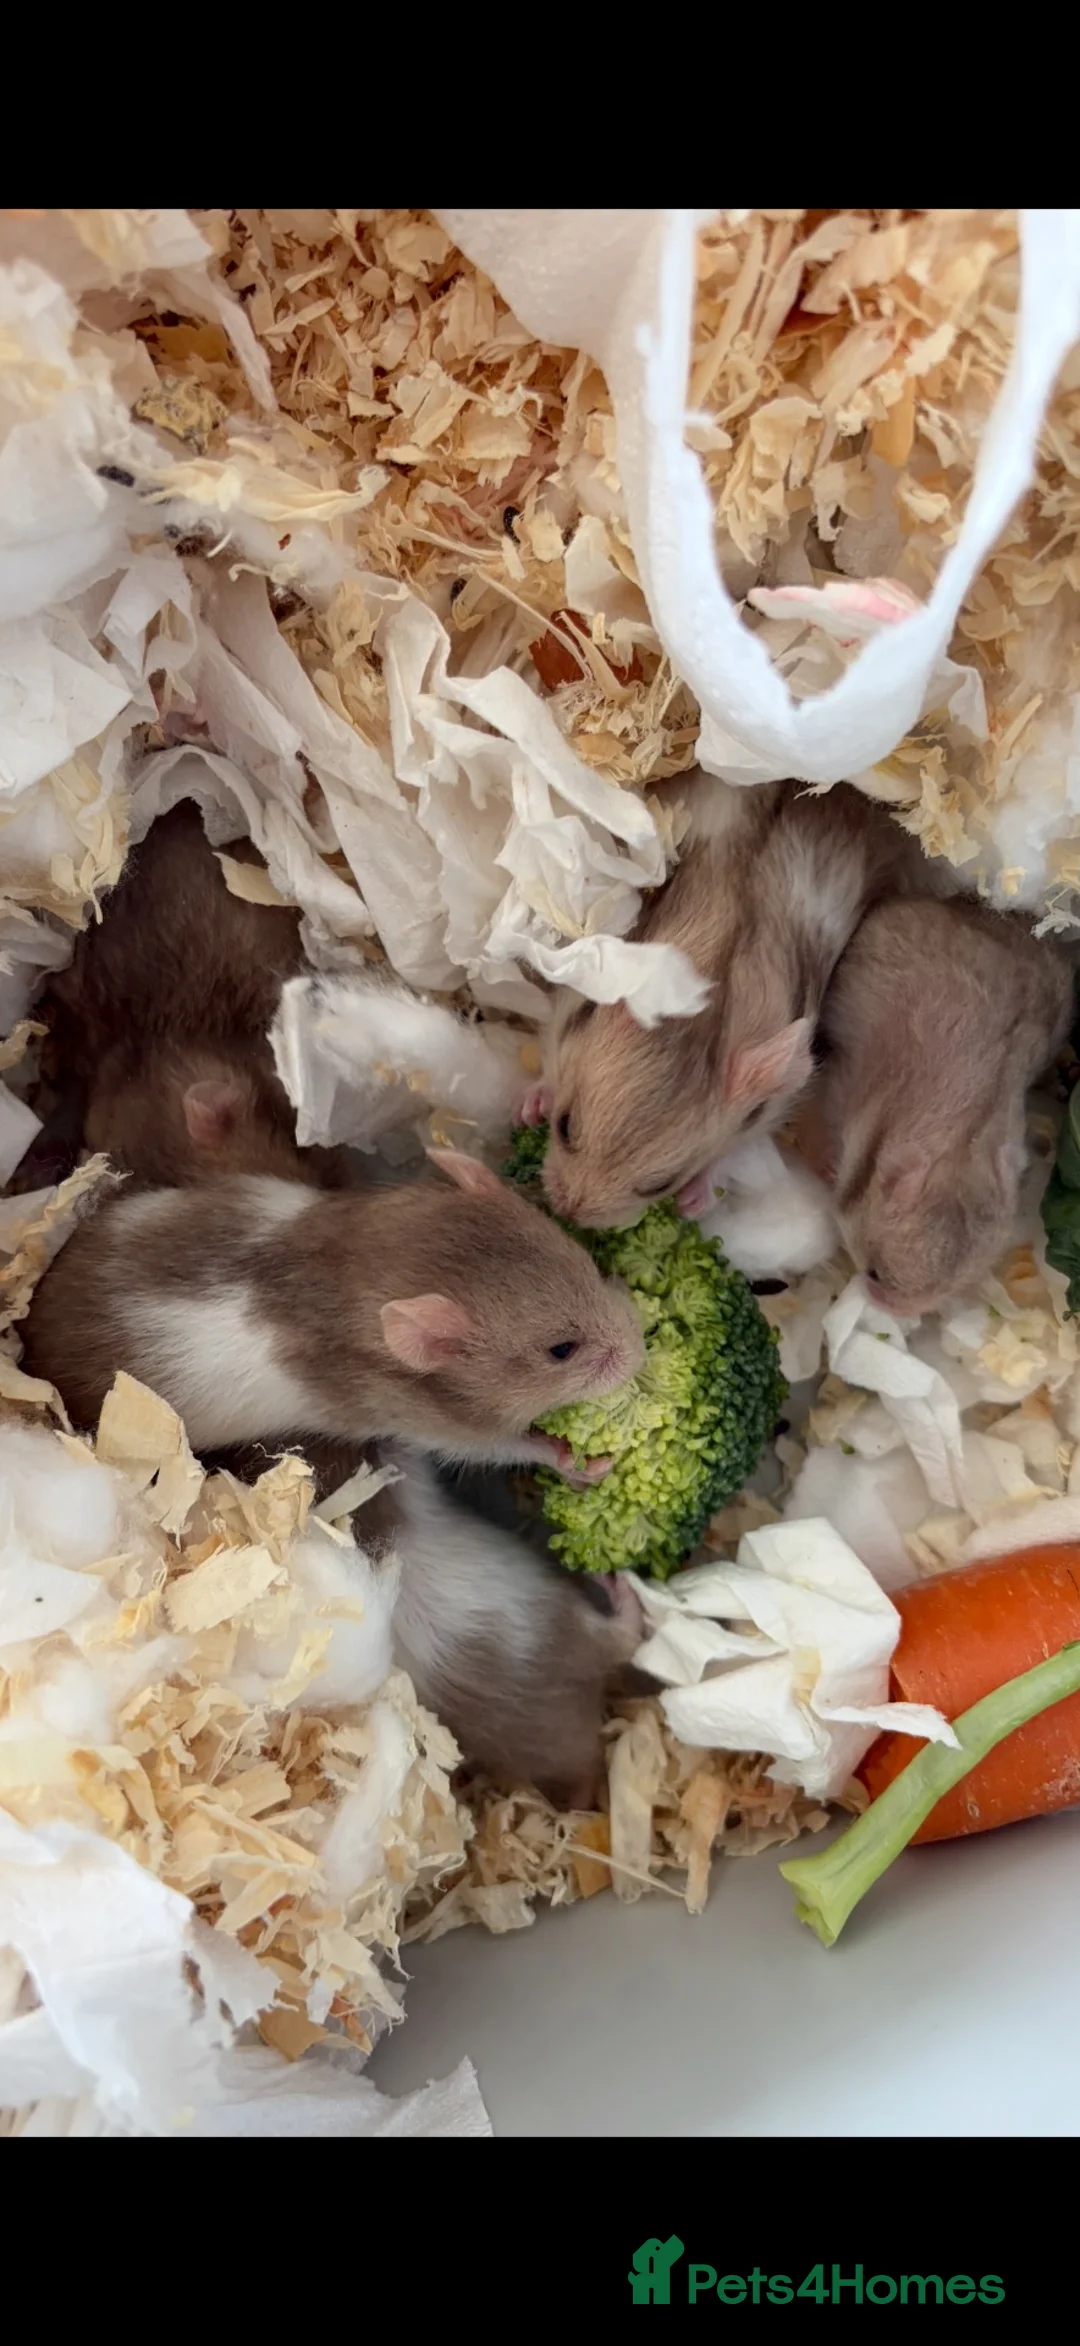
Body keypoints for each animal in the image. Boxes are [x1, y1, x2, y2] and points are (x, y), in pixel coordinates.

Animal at [20, 1147, 645, 1473]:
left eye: (584, 1261)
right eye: (561, 1350)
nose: (641, 1351)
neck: (369, 1262)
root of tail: (28, 1344)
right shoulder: (431, 1424)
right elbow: (517, 1446)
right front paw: (588, 1466)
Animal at [538, 771, 936, 1229]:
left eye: (661, 1185)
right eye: (564, 1127)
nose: (566, 1213)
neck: (703, 995)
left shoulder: (771, 1103)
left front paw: (696, 1200)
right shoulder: (569, 999)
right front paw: (529, 1105)